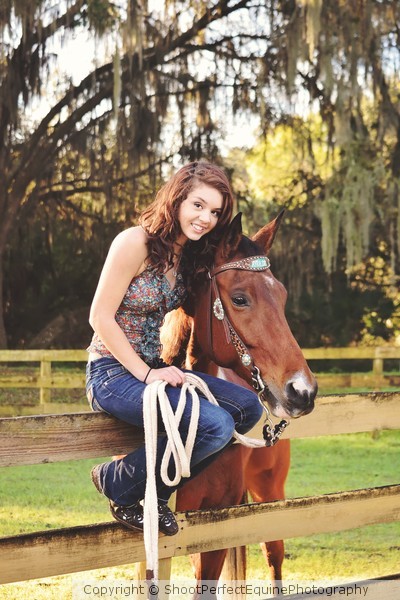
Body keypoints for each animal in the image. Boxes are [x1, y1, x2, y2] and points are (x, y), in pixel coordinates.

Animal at [161, 211, 318, 592]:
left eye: (283, 296)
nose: (303, 390)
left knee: (274, 555)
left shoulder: (214, 522)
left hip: (269, 491)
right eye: (240, 298)